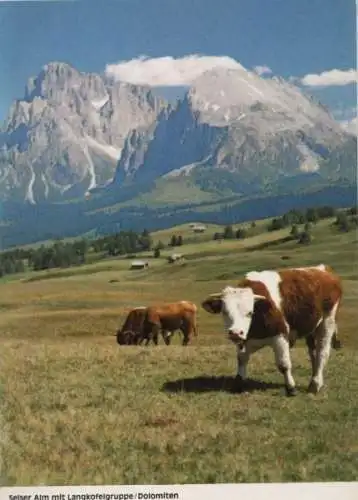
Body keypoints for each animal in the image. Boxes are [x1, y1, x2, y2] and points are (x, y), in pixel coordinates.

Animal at [201, 264, 344, 396]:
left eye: (249, 313)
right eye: (225, 312)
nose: (235, 333)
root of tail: (322, 269)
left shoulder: (280, 336)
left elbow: (284, 364)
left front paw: (291, 388)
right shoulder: (245, 341)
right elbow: (241, 359)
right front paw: (238, 384)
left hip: (327, 322)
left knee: (322, 352)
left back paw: (315, 384)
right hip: (311, 327)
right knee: (313, 353)